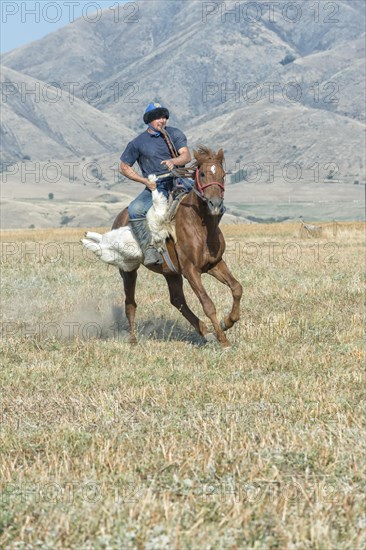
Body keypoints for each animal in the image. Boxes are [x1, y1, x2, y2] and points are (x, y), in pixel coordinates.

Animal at [111, 144, 243, 348]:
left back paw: (205, 332)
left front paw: (227, 322)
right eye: (202, 174)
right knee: (130, 303)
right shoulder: (191, 270)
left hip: (170, 272)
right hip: (128, 269)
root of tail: (119, 218)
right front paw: (223, 340)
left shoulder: (214, 264)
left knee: (177, 300)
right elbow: (208, 304)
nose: (215, 204)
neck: (201, 226)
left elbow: (237, 288)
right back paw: (133, 340)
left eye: (222, 174)